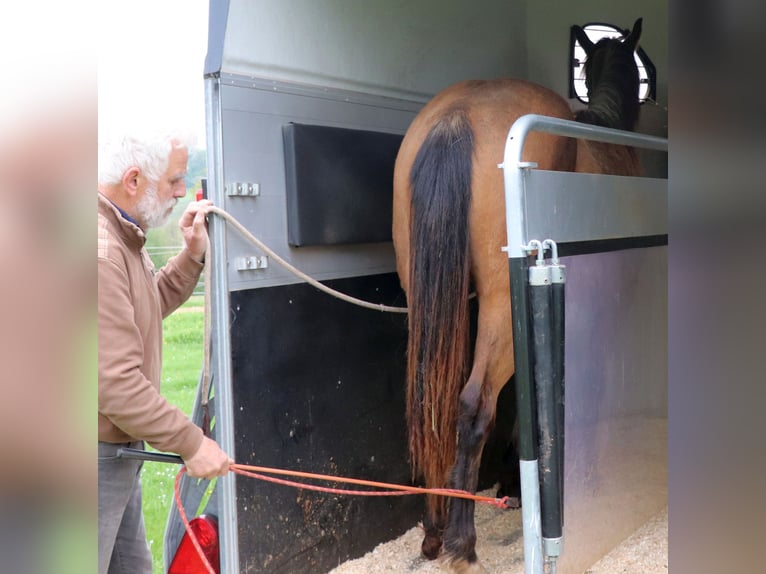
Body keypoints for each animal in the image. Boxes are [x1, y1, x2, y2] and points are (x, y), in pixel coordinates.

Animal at [391, 18, 644, 573]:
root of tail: (456, 116)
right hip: (499, 308)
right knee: (473, 404)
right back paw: (463, 544)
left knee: (433, 401)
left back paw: (434, 532)